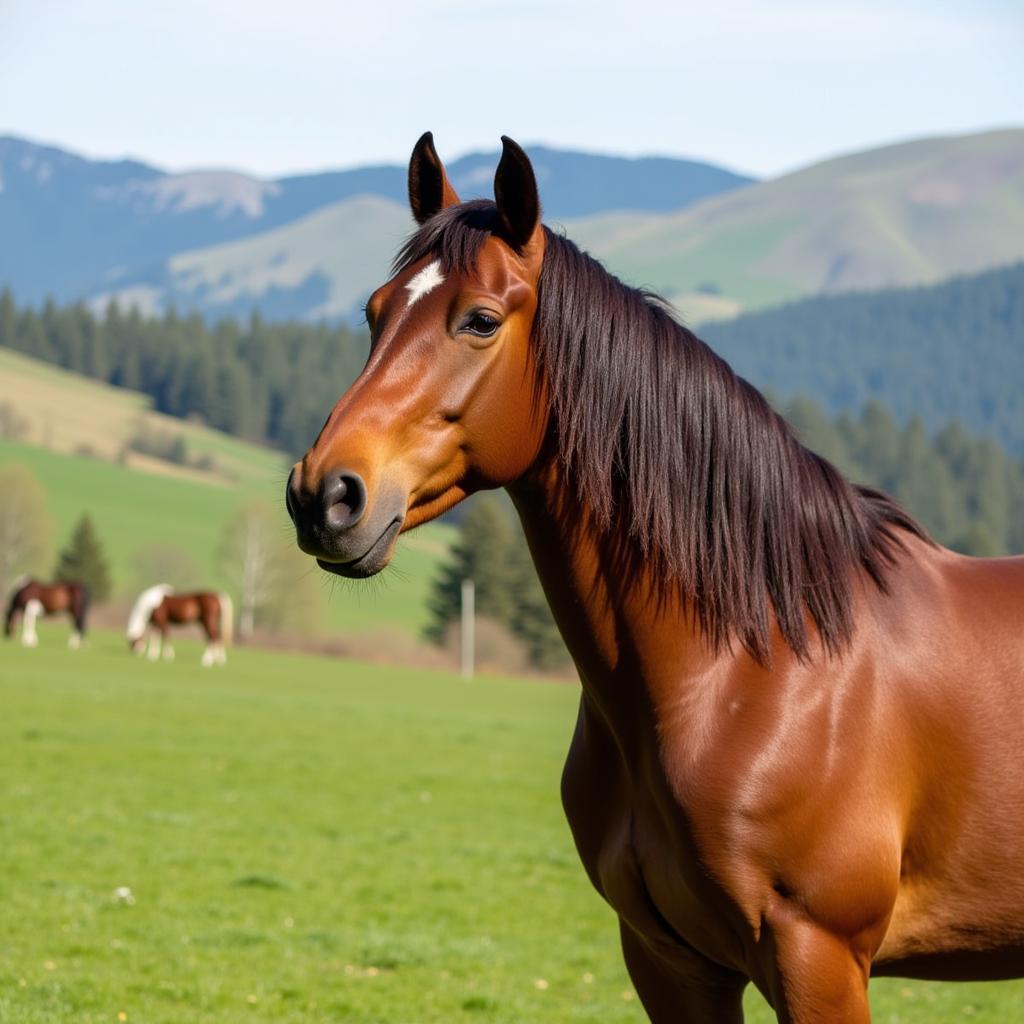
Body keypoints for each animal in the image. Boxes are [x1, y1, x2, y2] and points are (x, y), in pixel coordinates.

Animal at [284, 132, 1024, 1019]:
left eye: (480, 320)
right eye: (375, 311)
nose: (323, 494)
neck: (757, 667)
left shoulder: (821, 959)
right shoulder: (669, 961)